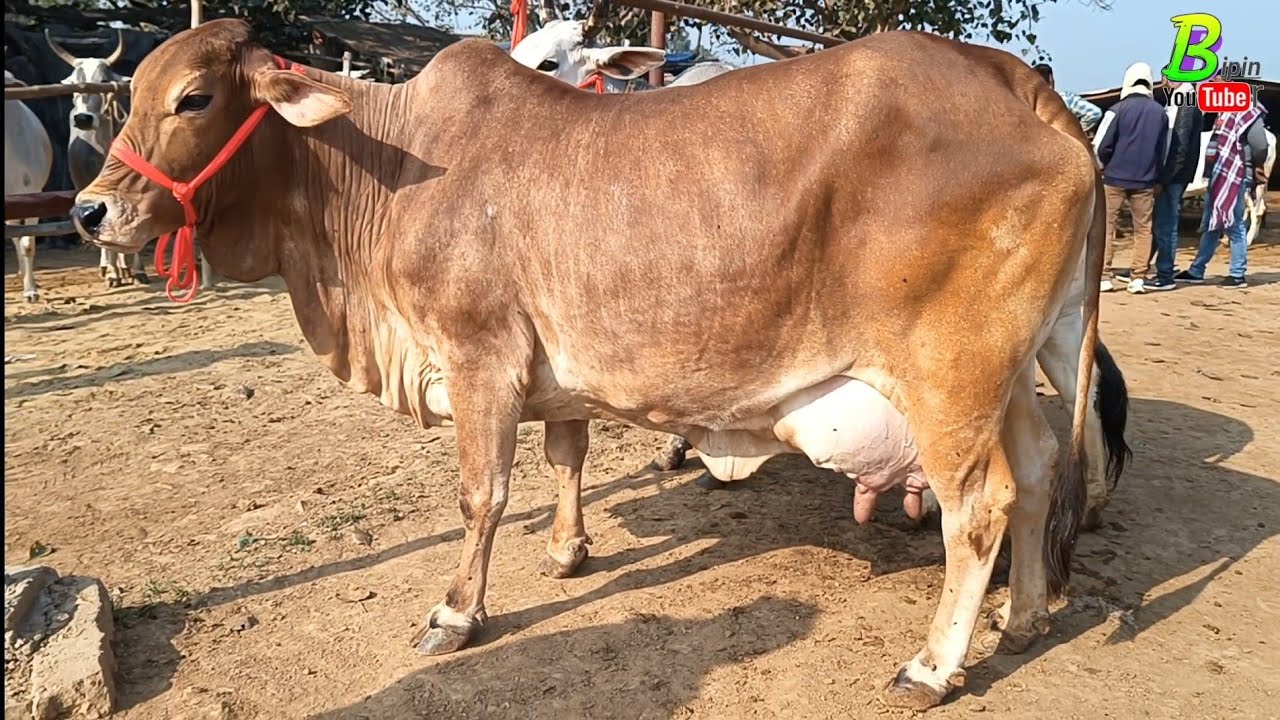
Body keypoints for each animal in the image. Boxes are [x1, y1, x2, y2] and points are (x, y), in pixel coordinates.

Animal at [46, 29, 149, 288]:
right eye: (75, 83)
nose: (82, 119)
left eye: (103, 81)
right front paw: (112, 272)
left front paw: (138, 270)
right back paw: (110, 267)